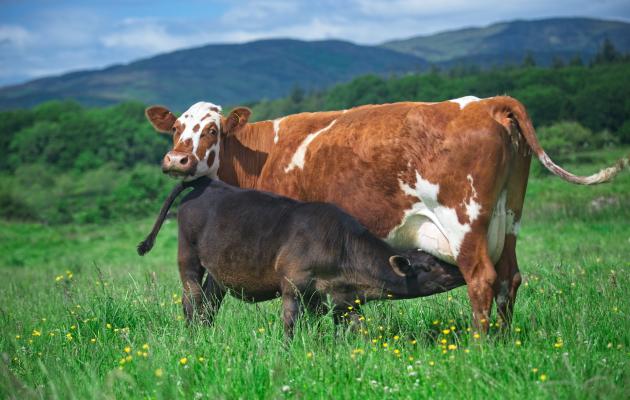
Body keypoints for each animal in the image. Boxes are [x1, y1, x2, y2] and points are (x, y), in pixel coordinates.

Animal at [137, 179, 464, 338]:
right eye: (429, 265)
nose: (460, 271)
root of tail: (209, 184)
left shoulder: (340, 297)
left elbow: (348, 327)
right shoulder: (292, 284)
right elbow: (292, 323)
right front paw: (289, 348)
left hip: (219, 273)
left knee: (209, 303)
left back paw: (207, 333)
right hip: (188, 257)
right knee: (190, 298)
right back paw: (193, 336)